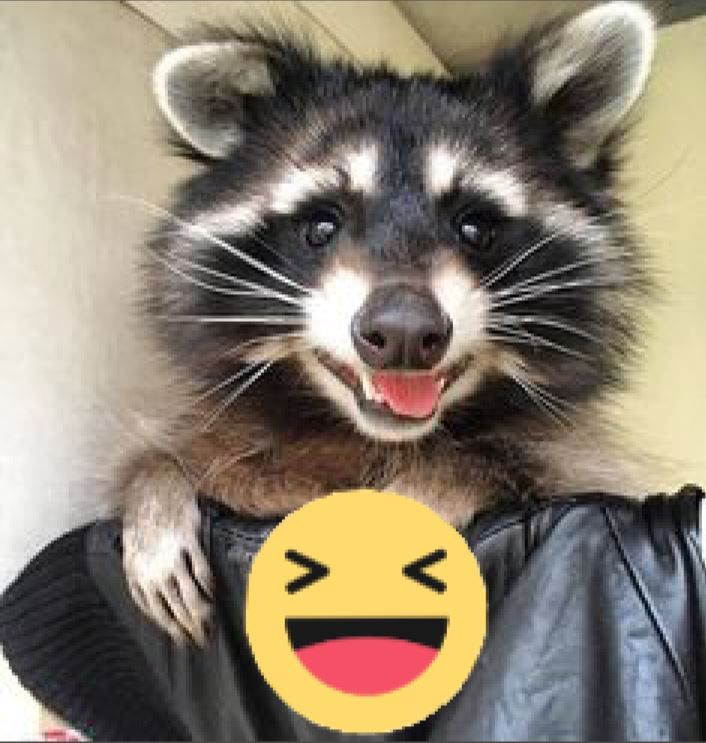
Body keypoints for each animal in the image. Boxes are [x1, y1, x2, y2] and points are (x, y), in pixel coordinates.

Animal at [118, 2, 656, 643]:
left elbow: (495, 464)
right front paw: (155, 483)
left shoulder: (576, 471)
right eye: (320, 226)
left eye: (475, 228)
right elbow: (184, 454)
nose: (403, 333)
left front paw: (436, 480)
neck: (364, 435)